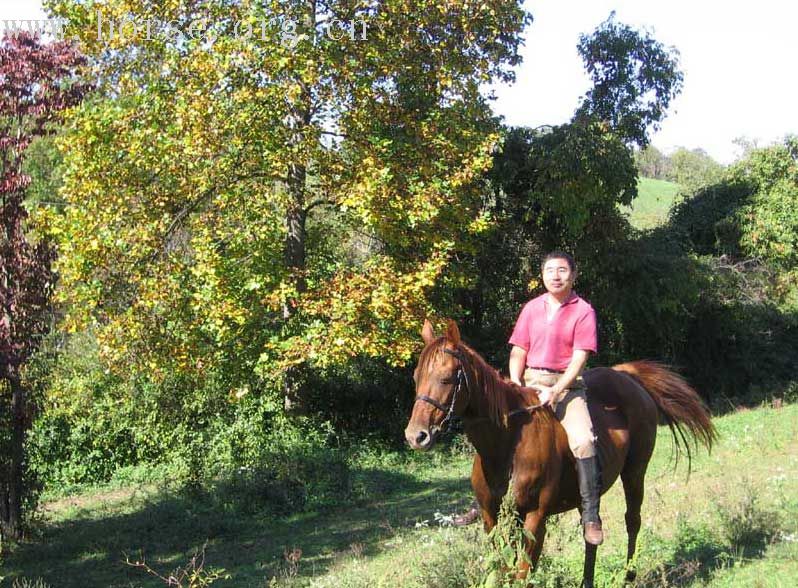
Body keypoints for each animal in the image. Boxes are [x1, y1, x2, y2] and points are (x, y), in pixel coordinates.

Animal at [406, 322, 720, 588]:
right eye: (416, 377)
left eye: (446, 378)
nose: (416, 436)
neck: (507, 445)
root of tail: (626, 375)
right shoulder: (491, 518)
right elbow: (504, 570)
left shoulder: (535, 518)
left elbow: (522, 572)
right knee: (591, 531)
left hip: (635, 472)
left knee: (633, 520)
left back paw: (628, 576)